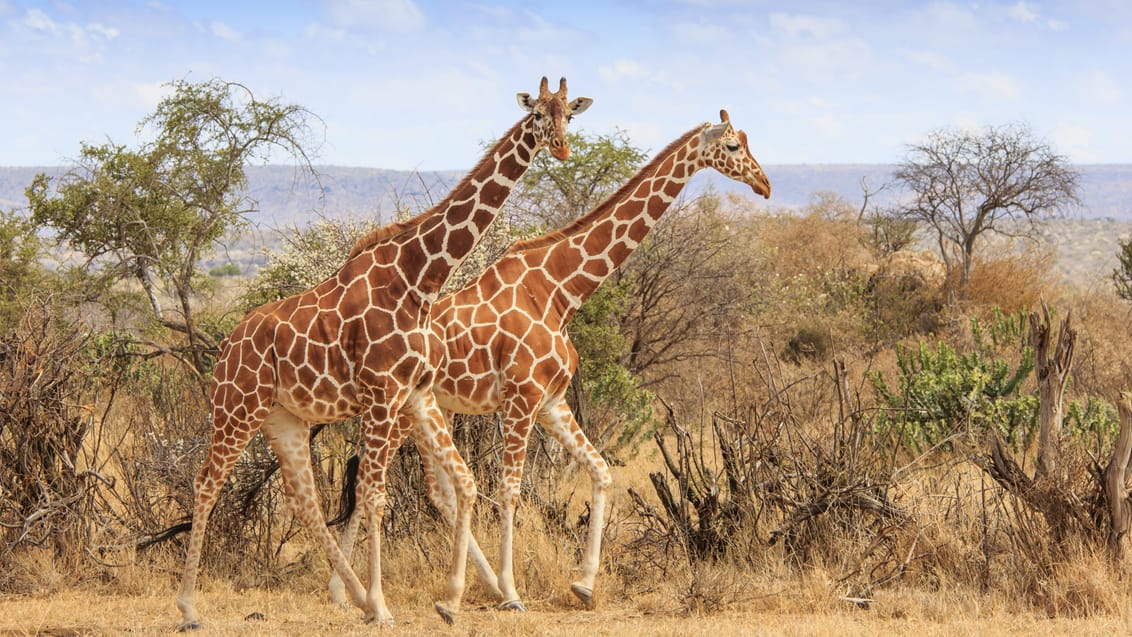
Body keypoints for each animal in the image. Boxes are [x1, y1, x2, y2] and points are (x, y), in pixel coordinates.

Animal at [175, 77, 593, 629]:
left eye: (570, 113)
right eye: (539, 116)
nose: (562, 148)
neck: (419, 277)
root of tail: (225, 345)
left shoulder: (412, 393)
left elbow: (425, 487)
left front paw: (385, 602)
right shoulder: (381, 393)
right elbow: (374, 496)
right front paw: (386, 607)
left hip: (283, 417)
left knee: (303, 498)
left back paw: (354, 595)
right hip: (235, 407)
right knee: (207, 483)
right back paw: (188, 607)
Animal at [335, 109, 774, 610]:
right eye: (734, 146)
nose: (764, 184)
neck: (561, 290)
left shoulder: (552, 401)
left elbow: (601, 470)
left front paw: (584, 584)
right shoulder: (521, 399)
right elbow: (509, 490)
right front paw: (513, 590)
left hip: (417, 410)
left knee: (430, 491)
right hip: (395, 406)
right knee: (376, 484)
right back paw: (357, 592)